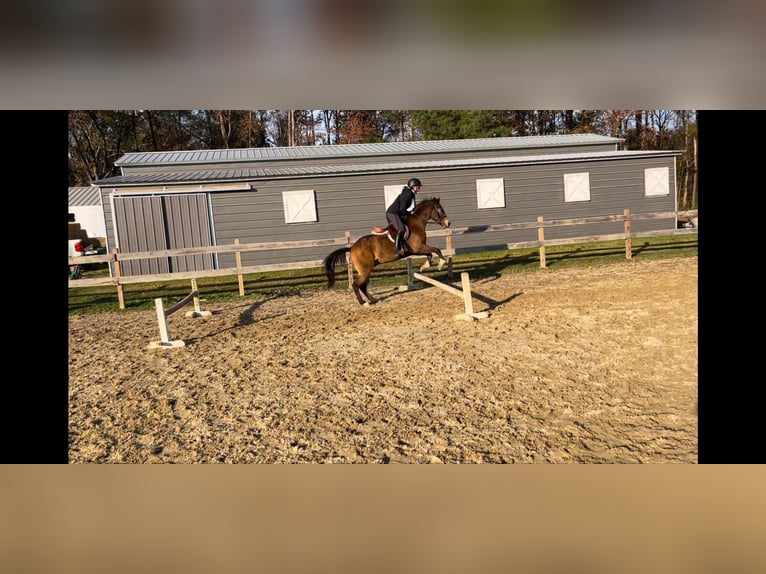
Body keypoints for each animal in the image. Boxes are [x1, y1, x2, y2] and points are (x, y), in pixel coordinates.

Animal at [322, 198, 450, 306]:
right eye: (440, 209)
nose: (448, 223)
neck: (417, 222)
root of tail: (352, 248)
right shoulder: (419, 247)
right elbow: (436, 250)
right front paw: (441, 264)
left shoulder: (416, 250)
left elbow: (430, 254)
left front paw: (425, 266)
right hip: (365, 270)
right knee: (357, 285)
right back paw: (363, 302)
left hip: (367, 269)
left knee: (363, 286)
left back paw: (372, 300)